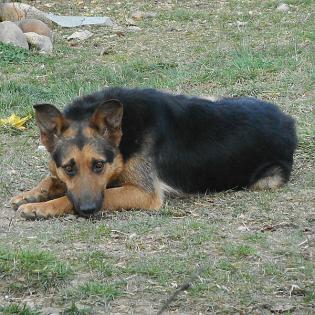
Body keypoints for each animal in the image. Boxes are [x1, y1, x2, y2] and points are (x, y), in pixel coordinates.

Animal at [9, 87, 296, 218]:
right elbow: (52, 178)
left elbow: (73, 197)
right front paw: (32, 193)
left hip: (266, 179)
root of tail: (288, 121)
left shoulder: (143, 192)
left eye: (99, 165)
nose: (89, 210)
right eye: (69, 167)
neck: (125, 134)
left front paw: (41, 207)